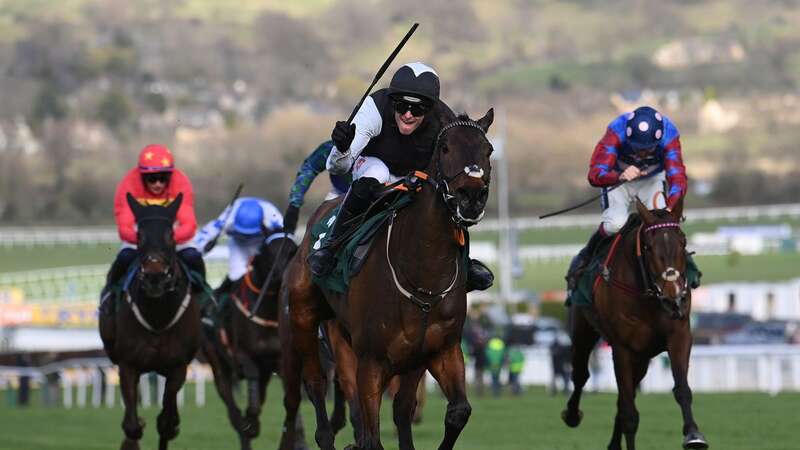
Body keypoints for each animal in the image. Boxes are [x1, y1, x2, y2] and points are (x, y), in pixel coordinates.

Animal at [98, 194, 202, 450]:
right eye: (139, 236)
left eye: (171, 235)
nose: (155, 276)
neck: (158, 317)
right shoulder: (128, 365)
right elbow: (132, 426)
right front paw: (134, 432)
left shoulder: (177, 367)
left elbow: (166, 423)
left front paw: (170, 423)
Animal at [198, 232, 304, 450]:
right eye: (268, 250)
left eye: (293, 249)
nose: (282, 275)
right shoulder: (244, 356)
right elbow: (251, 403)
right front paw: (251, 425)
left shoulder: (281, 361)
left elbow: (290, 405)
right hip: (217, 365)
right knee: (232, 410)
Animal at [278, 106, 496, 450]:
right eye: (445, 148)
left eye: (488, 150)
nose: (471, 197)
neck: (424, 277)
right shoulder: (372, 362)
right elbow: (372, 435)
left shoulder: (437, 351)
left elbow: (453, 412)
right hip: (303, 317)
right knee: (315, 385)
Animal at [560, 199, 708, 450]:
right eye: (648, 247)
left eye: (683, 243)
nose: (673, 297)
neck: (648, 294)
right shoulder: (622, 348)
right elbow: (630, 414)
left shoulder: (678, 336)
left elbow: (681, 389)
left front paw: (693, 434)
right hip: (583, 332)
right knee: (581, 375)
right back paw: (571, 415)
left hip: (642, 358)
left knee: (622, 399)